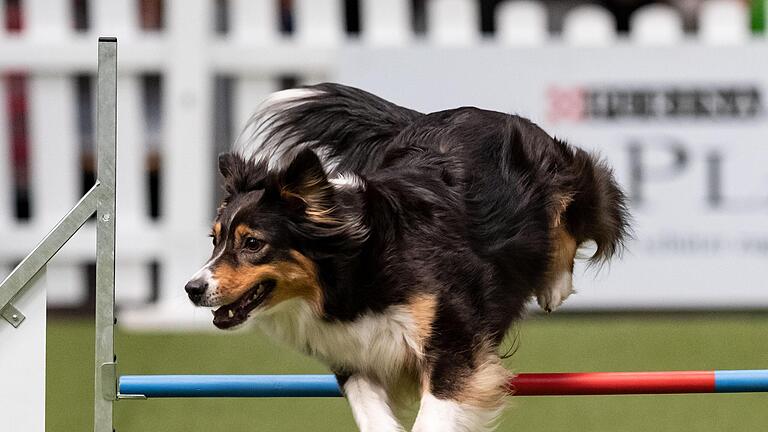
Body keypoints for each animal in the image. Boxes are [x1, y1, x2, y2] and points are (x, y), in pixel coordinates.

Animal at [186, 82, 632, 430]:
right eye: (215, 240)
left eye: (252, 243)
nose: (192, 288)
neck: (357, 265)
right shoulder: (354, 352)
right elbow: (371, 413)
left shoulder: (453, 339)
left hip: (559, 180)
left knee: (579, 208)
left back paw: (555, 283)